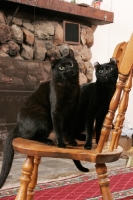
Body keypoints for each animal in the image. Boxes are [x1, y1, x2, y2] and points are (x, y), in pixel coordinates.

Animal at [0, 50, 89, 189]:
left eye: (70, 64)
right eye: (61, 68)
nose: (67, 70)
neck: (69, 87)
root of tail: (17, 126)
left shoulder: (72, 113)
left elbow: (69, 129)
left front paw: (71, 141)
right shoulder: (56, 112)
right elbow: (59, 130)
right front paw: (62, 144)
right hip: (43, 119)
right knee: (30, 137)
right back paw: (48, 141)